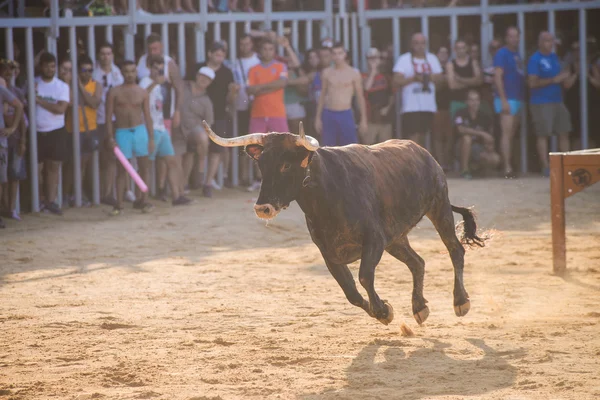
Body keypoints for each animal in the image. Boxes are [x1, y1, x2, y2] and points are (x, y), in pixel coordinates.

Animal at [204, 121, 486, 324]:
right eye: (261, 165)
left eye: (285, 165)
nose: (263, 208)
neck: (326, 196)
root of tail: (424, 152)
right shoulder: (329, 253)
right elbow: (350, 291)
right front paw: (383, 312)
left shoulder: (374, 240)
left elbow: (364, 276)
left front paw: (383, 310)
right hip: (396, 238)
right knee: (417, 262)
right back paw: (419, 307)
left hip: (438, 207)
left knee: (455, 250)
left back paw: (460, 302)